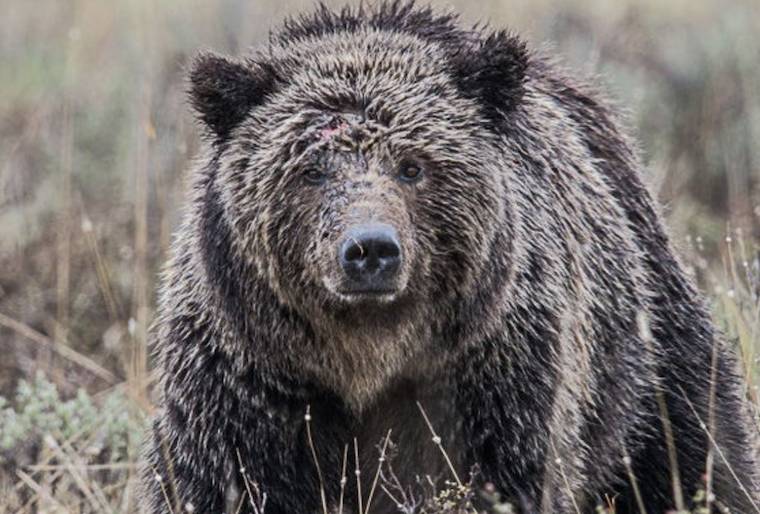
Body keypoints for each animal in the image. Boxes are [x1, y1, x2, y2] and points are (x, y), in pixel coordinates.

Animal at [140, 2, 760, 513]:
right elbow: (219, 482)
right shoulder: (247, 383)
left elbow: (505, 478)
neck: (365, 360)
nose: (370, 250)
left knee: (698, 449)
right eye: (311, 169)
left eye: (413, 166)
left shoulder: (494, 379)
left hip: (644, 355)